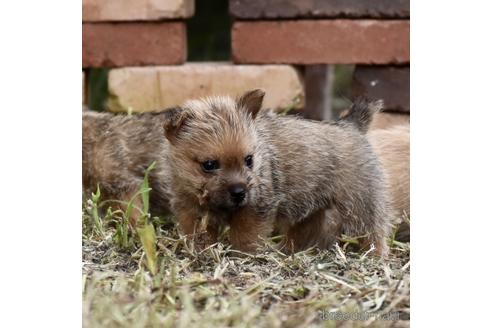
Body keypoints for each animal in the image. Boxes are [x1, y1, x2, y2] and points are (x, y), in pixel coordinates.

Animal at [163, 91, 394, 255]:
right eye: (209, 165)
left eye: (249, 160)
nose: (239, 192)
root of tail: (351, 125)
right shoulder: (191, 211)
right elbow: (198, 236)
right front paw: (201, 253)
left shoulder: (255, 208)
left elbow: (245, 237)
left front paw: (244, 256)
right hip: (312, 208)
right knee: (307, 231)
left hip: (361, 203)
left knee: (375, 233)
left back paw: (376, 257)